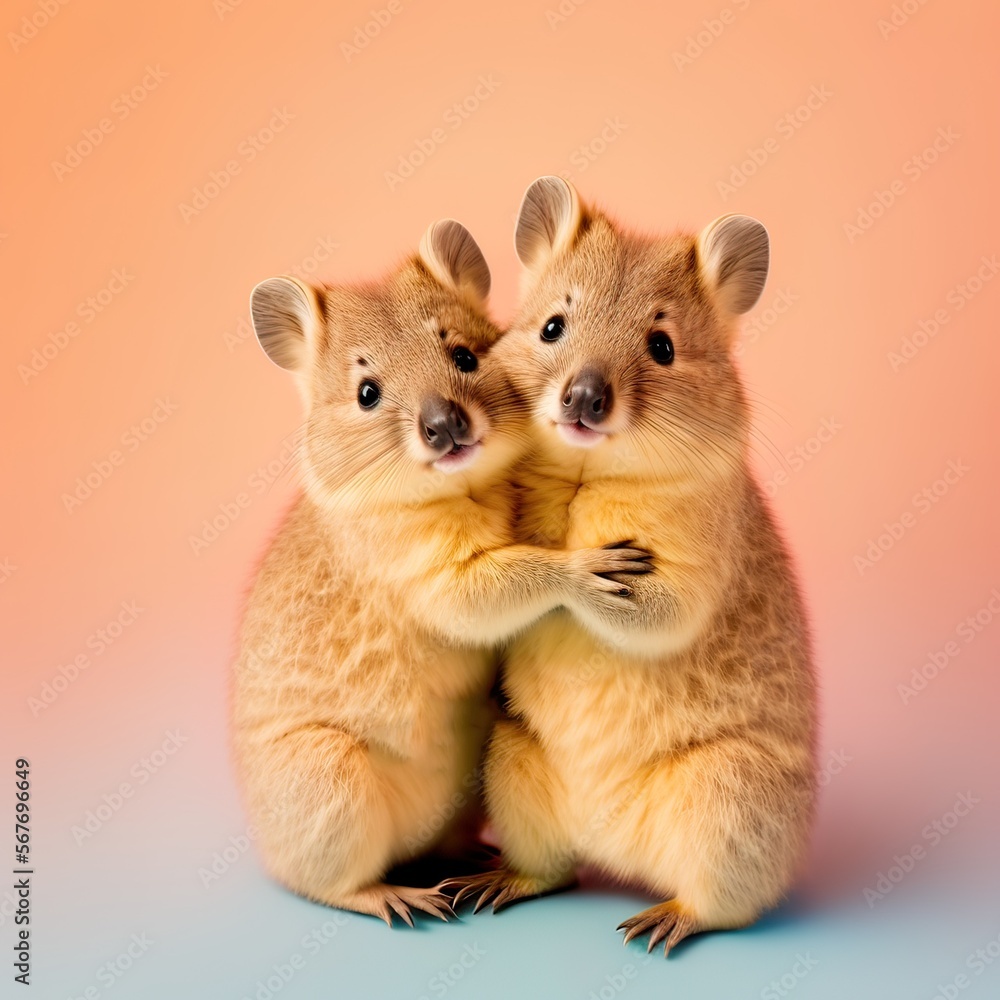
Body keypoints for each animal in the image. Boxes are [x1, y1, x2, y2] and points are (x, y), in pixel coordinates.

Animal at [231, 218, 650, 926]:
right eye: (367, 394)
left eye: (465, 358)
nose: (444, 424)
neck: (467, 491)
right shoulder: (424, 573)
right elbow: (501, 586)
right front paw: (584, 568)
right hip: (328, 777)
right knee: (329, 885)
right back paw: (395, 894)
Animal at [446, 179, 818, 955]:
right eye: (552, 327)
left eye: (663, 346)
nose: (584, 397)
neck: (587, 473)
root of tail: (612, 847)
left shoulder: (687, 571)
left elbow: (650, 607)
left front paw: (593, 567)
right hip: (513, 765)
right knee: (554, 871)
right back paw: (500, 881)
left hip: (727, 797)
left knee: (722, 907)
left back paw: (667, 920)